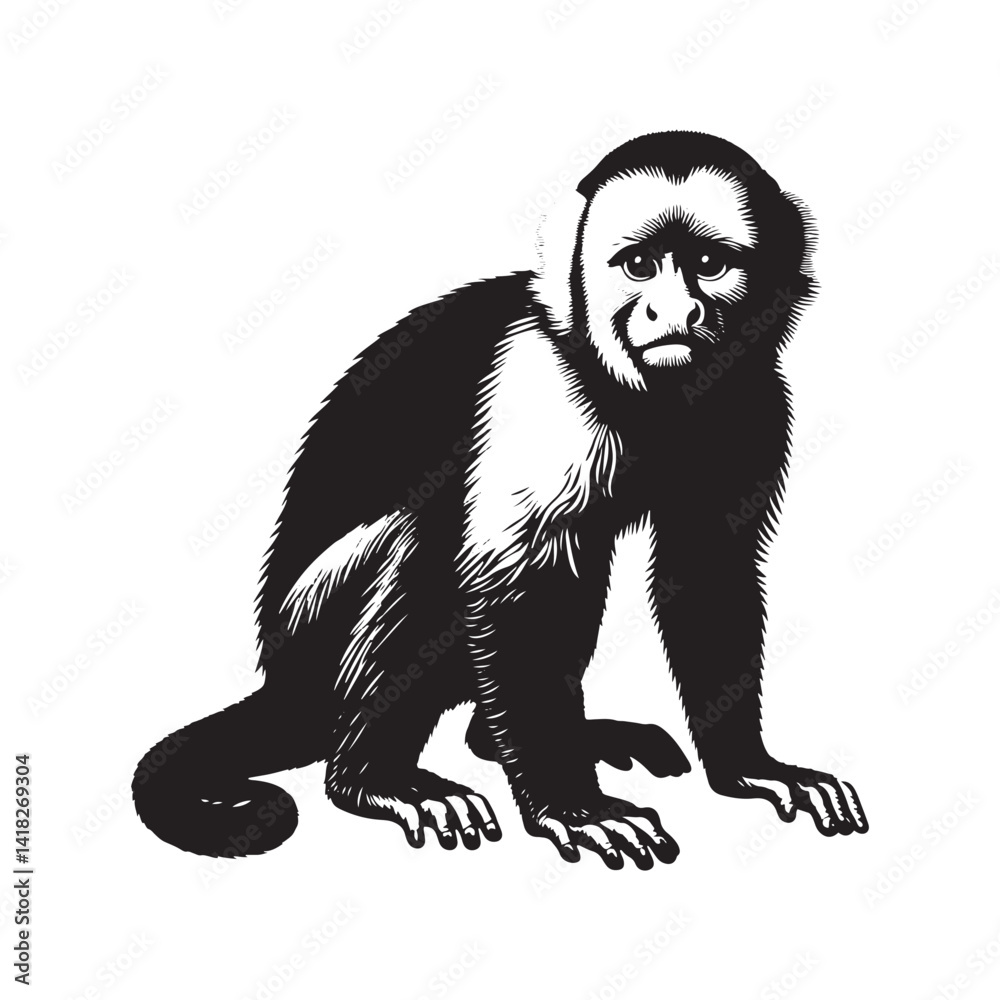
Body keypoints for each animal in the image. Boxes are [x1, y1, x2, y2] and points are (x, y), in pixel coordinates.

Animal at [133, 131, 867, 869]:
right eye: (639, 265)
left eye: (709, 265)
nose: (675, 311)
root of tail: (281, 680)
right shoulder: (535, 382)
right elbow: (516, 587)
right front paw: (573, 807)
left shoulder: (753, 396)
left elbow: (708, 569)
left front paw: (749, 769)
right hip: (315, 628)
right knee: (432, 545)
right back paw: (375, 779)